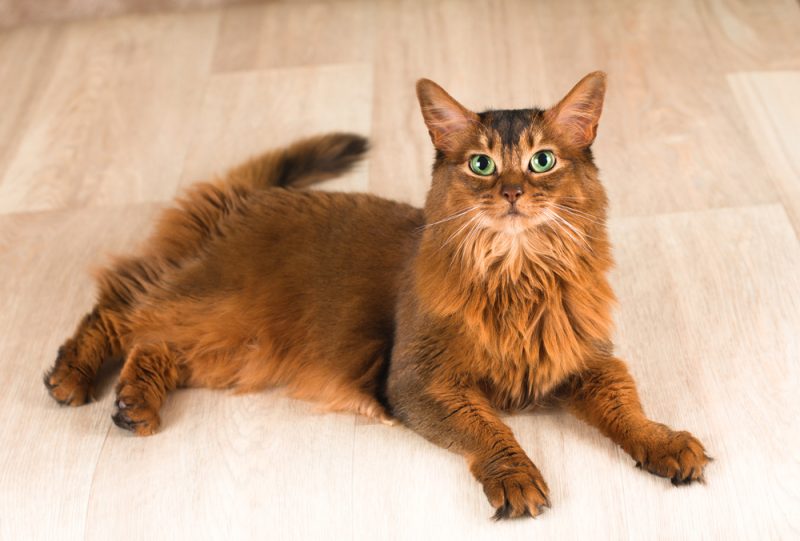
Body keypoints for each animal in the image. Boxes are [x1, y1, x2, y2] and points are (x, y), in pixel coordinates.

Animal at [45, 71, 708, 520]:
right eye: (483, 165)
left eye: (542, 161)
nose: (514, 192)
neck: (517, 278)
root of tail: (247, 200)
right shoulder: (419, 382)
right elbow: (493, 429)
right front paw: (515, 478)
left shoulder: (588, 363)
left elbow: (629, 410)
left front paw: (664, 444)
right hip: (222, 308)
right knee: (122, 310)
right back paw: (72, 378)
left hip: (236, 348)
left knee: (155, 343)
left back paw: (134, 403)